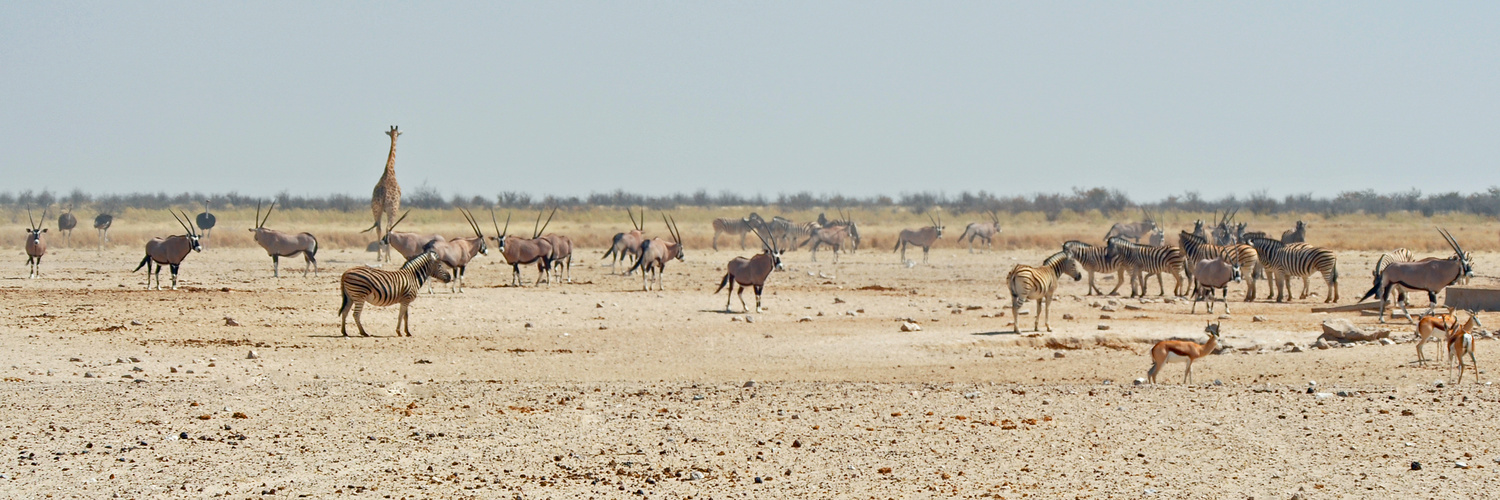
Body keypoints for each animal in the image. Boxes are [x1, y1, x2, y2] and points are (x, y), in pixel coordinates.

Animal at [364, 125, 402, 261]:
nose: (395, 134)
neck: (389, 170)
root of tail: (384, 195)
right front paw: (388, 256)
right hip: (392, 209)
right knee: (387, 228)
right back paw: (387, 257)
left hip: (376, 208)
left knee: (378, 227)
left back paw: (379, 256)